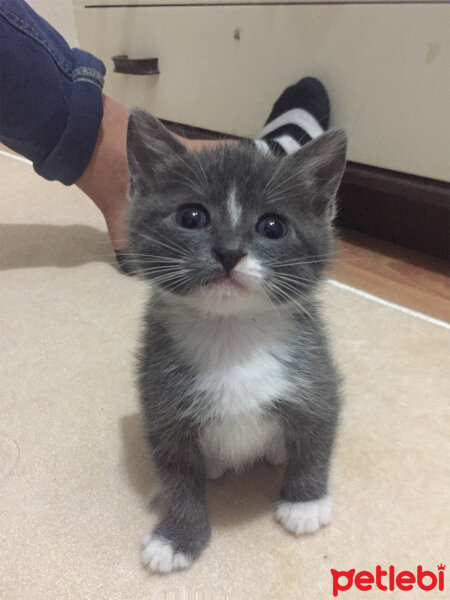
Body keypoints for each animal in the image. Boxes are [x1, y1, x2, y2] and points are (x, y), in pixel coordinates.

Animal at [126, 110, 348, 576]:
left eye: (273, 226)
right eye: (192, 217)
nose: (229, 252)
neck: (232, 335)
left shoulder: (317, 377)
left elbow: (316, 440)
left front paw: (305, 502)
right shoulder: (160, 404)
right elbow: (178, 479)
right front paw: (176, 537)